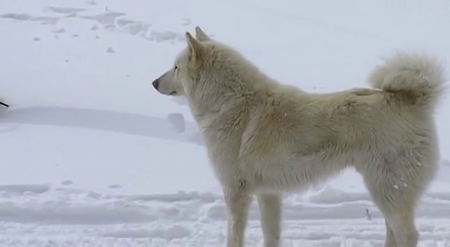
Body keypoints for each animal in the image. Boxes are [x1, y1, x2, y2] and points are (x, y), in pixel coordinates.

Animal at [151, 27, 446, 247]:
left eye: (175, 67)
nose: (154, 82)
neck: (231, 102)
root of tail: (413, 100)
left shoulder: (235, 191)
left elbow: (234, 237)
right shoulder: (268, 193)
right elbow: (271, 235)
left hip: (386, 190)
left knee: (408, 235)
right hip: (386, 193)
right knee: (394, 233)